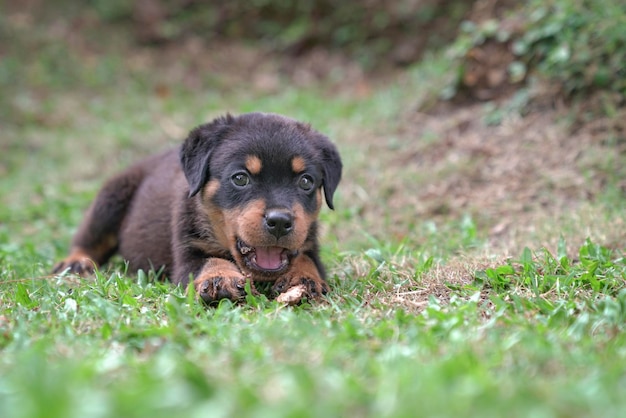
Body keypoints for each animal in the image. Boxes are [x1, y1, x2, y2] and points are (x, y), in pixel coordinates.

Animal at [53, 112, 342, 304]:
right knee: (89, 238)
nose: (280, 221)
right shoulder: (186, 250)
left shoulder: (309, 243)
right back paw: (76, 263)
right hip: (110, 197)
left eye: (306, 181)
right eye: (240, 178)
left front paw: (303, 278)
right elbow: (207, 261)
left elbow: (306, 259)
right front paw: (220, 278)